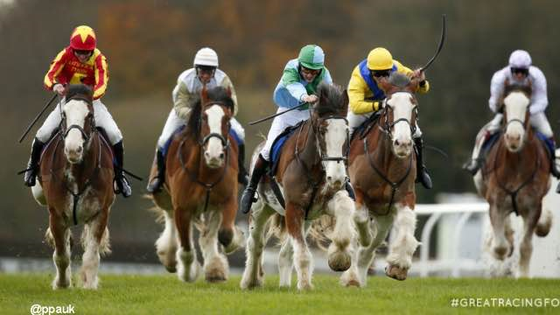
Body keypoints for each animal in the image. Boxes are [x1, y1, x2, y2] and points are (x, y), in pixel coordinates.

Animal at [30, 84, 115, 292]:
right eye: (64, 115)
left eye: (89, 115)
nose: (73, 149)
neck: (79, 172)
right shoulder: (57, 214)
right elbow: (61, 255)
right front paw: (62, 284)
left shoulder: (100, 212)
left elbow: (91, 255)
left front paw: (89, 284)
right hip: (40, 195)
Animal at [150, 86, 244, 284]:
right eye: (204, 117)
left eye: (227, 119)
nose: (214, 155)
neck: (207, 172)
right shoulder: (182, 208)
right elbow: (186, 250)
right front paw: (188, 274)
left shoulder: (227, 200)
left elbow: (225, 234)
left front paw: (236, 240)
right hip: (162, 196)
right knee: (170, 219)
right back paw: (169, 256)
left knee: (209, 234)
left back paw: (214, 269)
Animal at [240, 84, 354, 292]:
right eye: (322, 131)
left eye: (347, 131)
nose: (337, 177)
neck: (313, 167)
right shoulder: (293, 207)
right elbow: (302, 253)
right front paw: (306, 286)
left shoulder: (320, 205)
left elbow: (344, 207)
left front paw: (339, 258)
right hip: (259, 209)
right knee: (256, 244)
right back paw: (250, 281)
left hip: (306, 220)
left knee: (284, 252)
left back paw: (284, 285)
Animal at [340, 73, 422, 286]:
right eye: (389, 107)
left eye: (414, 107)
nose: (402, 143)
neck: (387, 161)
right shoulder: (357, 192)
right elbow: (360, 220)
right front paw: (365, 236)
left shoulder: (405, 195)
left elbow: (407, 221)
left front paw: (398, 266)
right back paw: (352, 274)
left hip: (384, 214)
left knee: (376, 240)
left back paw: (359, 274)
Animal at [472, 82, 552, 278]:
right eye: (503, 106)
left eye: (528, 107)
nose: (514, 137)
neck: (516, 166)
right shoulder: (496, 201)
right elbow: (500, 246)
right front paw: (504, 251)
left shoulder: (533, 205)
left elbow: (526, 245)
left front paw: (523, 275)